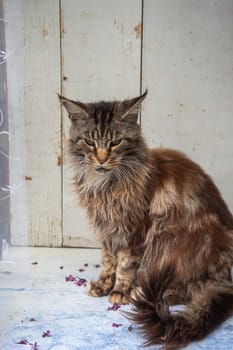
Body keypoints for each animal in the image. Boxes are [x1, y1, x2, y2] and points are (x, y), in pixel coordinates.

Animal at [59, 92, 233, 350]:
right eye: (90, 142)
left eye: (115, 142)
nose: (101, 159)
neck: (106, 186)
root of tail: (227, 278)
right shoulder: (108, 231)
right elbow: (109, 262)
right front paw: (103, 285)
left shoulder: (134, 230)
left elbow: (124, 265)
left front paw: (119, 291)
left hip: (169, 240)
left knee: (190, 290)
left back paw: (144, 294)